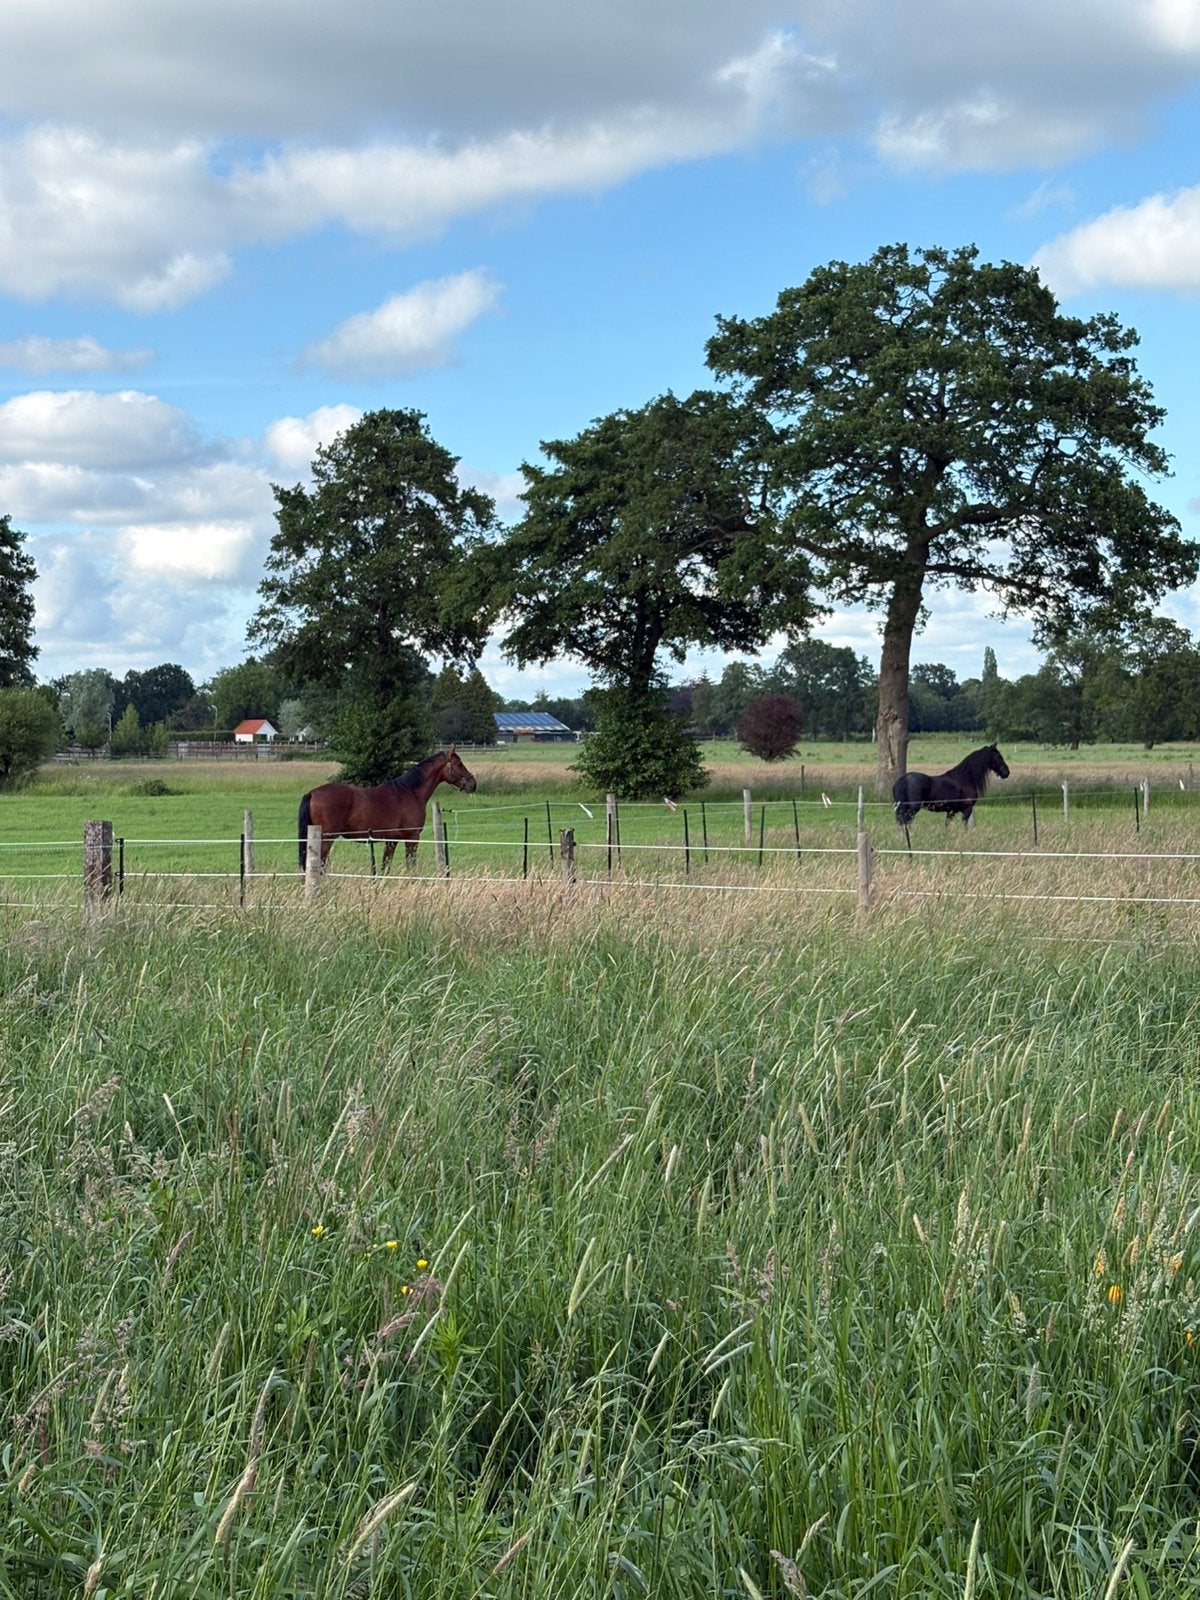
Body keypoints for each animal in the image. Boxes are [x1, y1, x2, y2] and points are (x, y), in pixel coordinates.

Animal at [298, 747, 477, 872]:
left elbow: (385, 868)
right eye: (459, 764)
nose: (472, 784)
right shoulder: (412, 838)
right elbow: (411, 867)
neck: (410, 792)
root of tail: (312, 793)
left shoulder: (391, 840)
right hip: (327, 839)